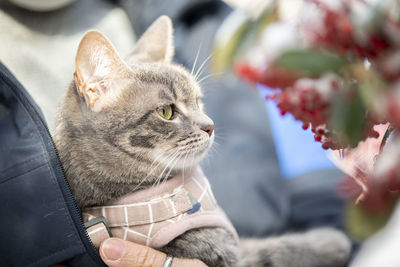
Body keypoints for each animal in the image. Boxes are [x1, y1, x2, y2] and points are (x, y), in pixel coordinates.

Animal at [53, 15, 350, 267]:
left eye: (198, 101)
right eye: (166, 111)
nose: (210, 125)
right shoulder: (221, 253)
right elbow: (276, 250)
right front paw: (329, 241)